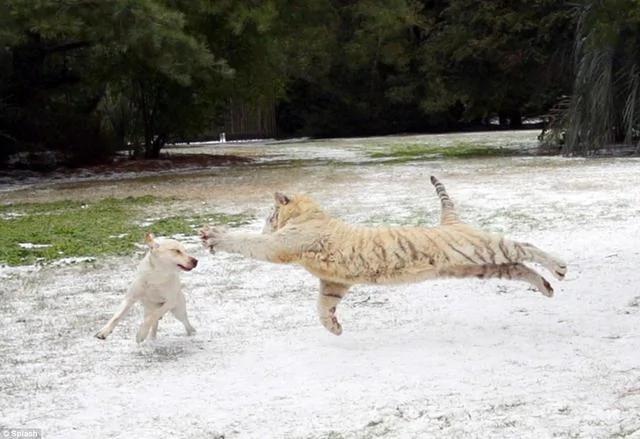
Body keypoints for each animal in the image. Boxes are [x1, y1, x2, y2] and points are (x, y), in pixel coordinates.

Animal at [200, 176, 567, 336]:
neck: (310, 215)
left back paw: (560, 267)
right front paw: (333, 328)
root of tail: (451, 221)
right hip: (478, 266)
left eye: (268, 215)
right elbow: (322, 307)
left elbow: (248, 243)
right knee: (519, 268)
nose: (265, 224)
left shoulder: (280, 247)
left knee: (525, 246)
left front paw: (214, 236)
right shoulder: (333, 282)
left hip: (484, 248)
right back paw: (547, 287)